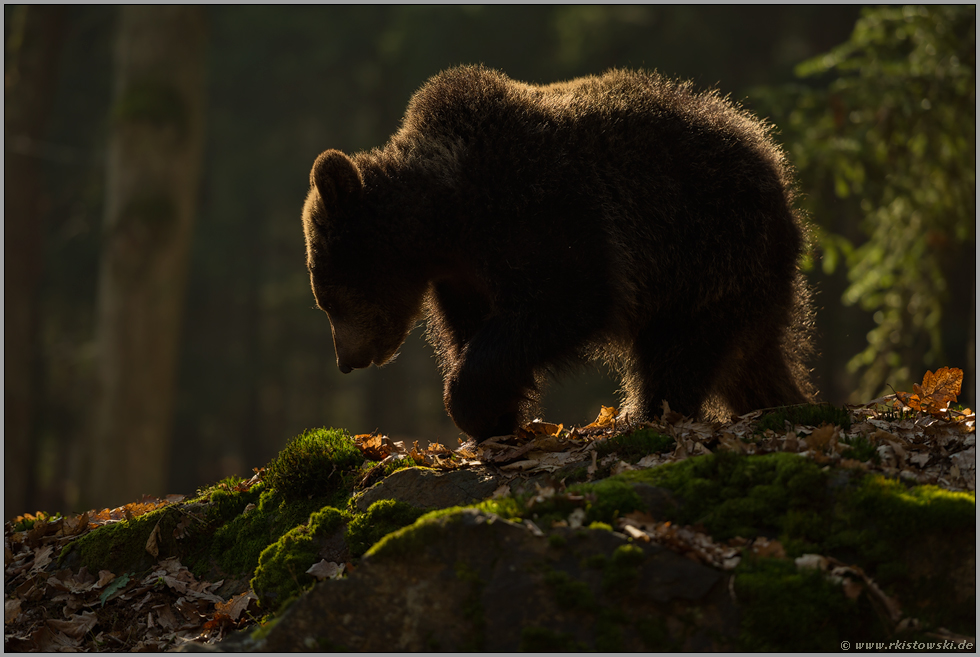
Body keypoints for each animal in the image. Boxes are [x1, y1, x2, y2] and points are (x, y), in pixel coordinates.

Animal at [302, 64, 816, 440]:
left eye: (327, 297)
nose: (346, 359)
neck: (446, 220)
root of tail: (773, 161)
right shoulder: (461, 276)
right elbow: (468, 330)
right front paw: (499, 416)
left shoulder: (546, 214)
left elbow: (568, 300)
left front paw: (475, 407)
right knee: (747, 363)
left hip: (708, 253)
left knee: (678, 354)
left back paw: (645, 414)